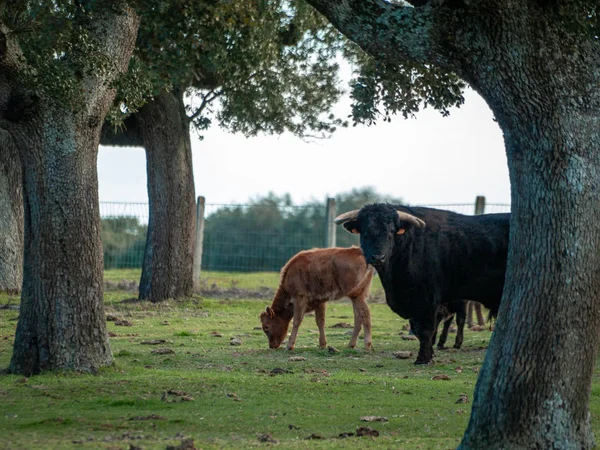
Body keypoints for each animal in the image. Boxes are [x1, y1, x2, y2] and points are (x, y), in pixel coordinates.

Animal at [336, 204, 508, 366]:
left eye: (391, 231)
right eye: (365, 231)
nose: (378, 257)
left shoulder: (428, 301)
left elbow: (426, 330)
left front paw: (423, 359)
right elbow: (418, 330)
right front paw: (430, 354)